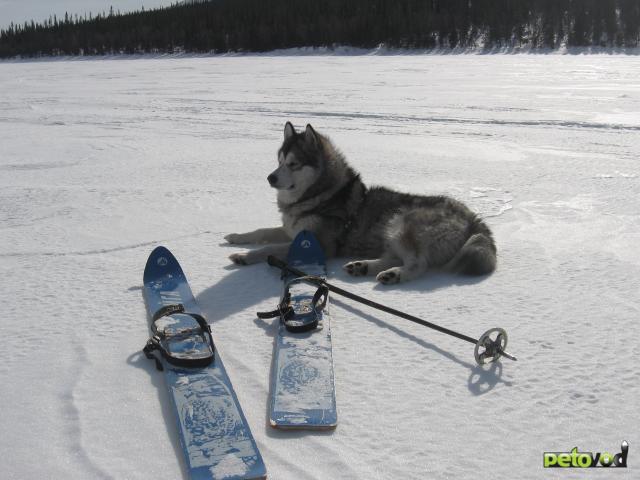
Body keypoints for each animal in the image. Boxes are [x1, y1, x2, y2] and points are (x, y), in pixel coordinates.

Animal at [228, 122, 498, 284]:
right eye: (279, 161)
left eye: (293, 164)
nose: (270, 177)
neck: (320, 195)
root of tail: (473, 218)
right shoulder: (291, 229)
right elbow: (261, 232)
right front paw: (236, 237)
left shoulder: (320, 244)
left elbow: (270, 249)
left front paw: (244, 256)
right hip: (391, 232)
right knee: (394, 256)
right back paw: (363, 267)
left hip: (401, 223)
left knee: (417, 264)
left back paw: (394, 275)